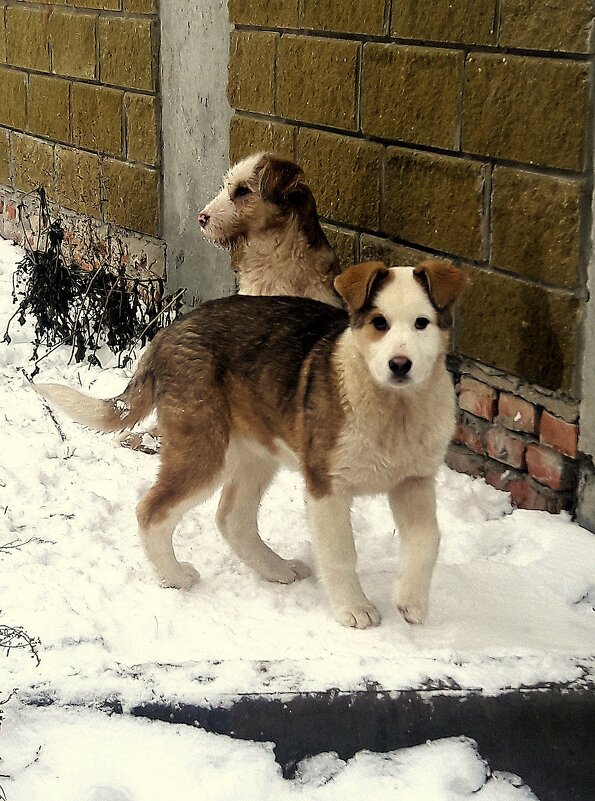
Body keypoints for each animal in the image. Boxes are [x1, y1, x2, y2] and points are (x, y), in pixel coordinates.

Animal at [37, 260, 468, 628]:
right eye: (380, 323)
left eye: (422, 324)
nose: (400, 365)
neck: (395, 408)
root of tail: (166, 333)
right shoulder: (326, 485)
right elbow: (341, 553)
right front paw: (354, 609)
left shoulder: (414, 482)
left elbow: (428, 540)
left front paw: (412, 602)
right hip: (205, 448)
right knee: (151, 510)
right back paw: (174, 576)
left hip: (255, 453)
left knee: (232, 518)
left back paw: (276, 569)